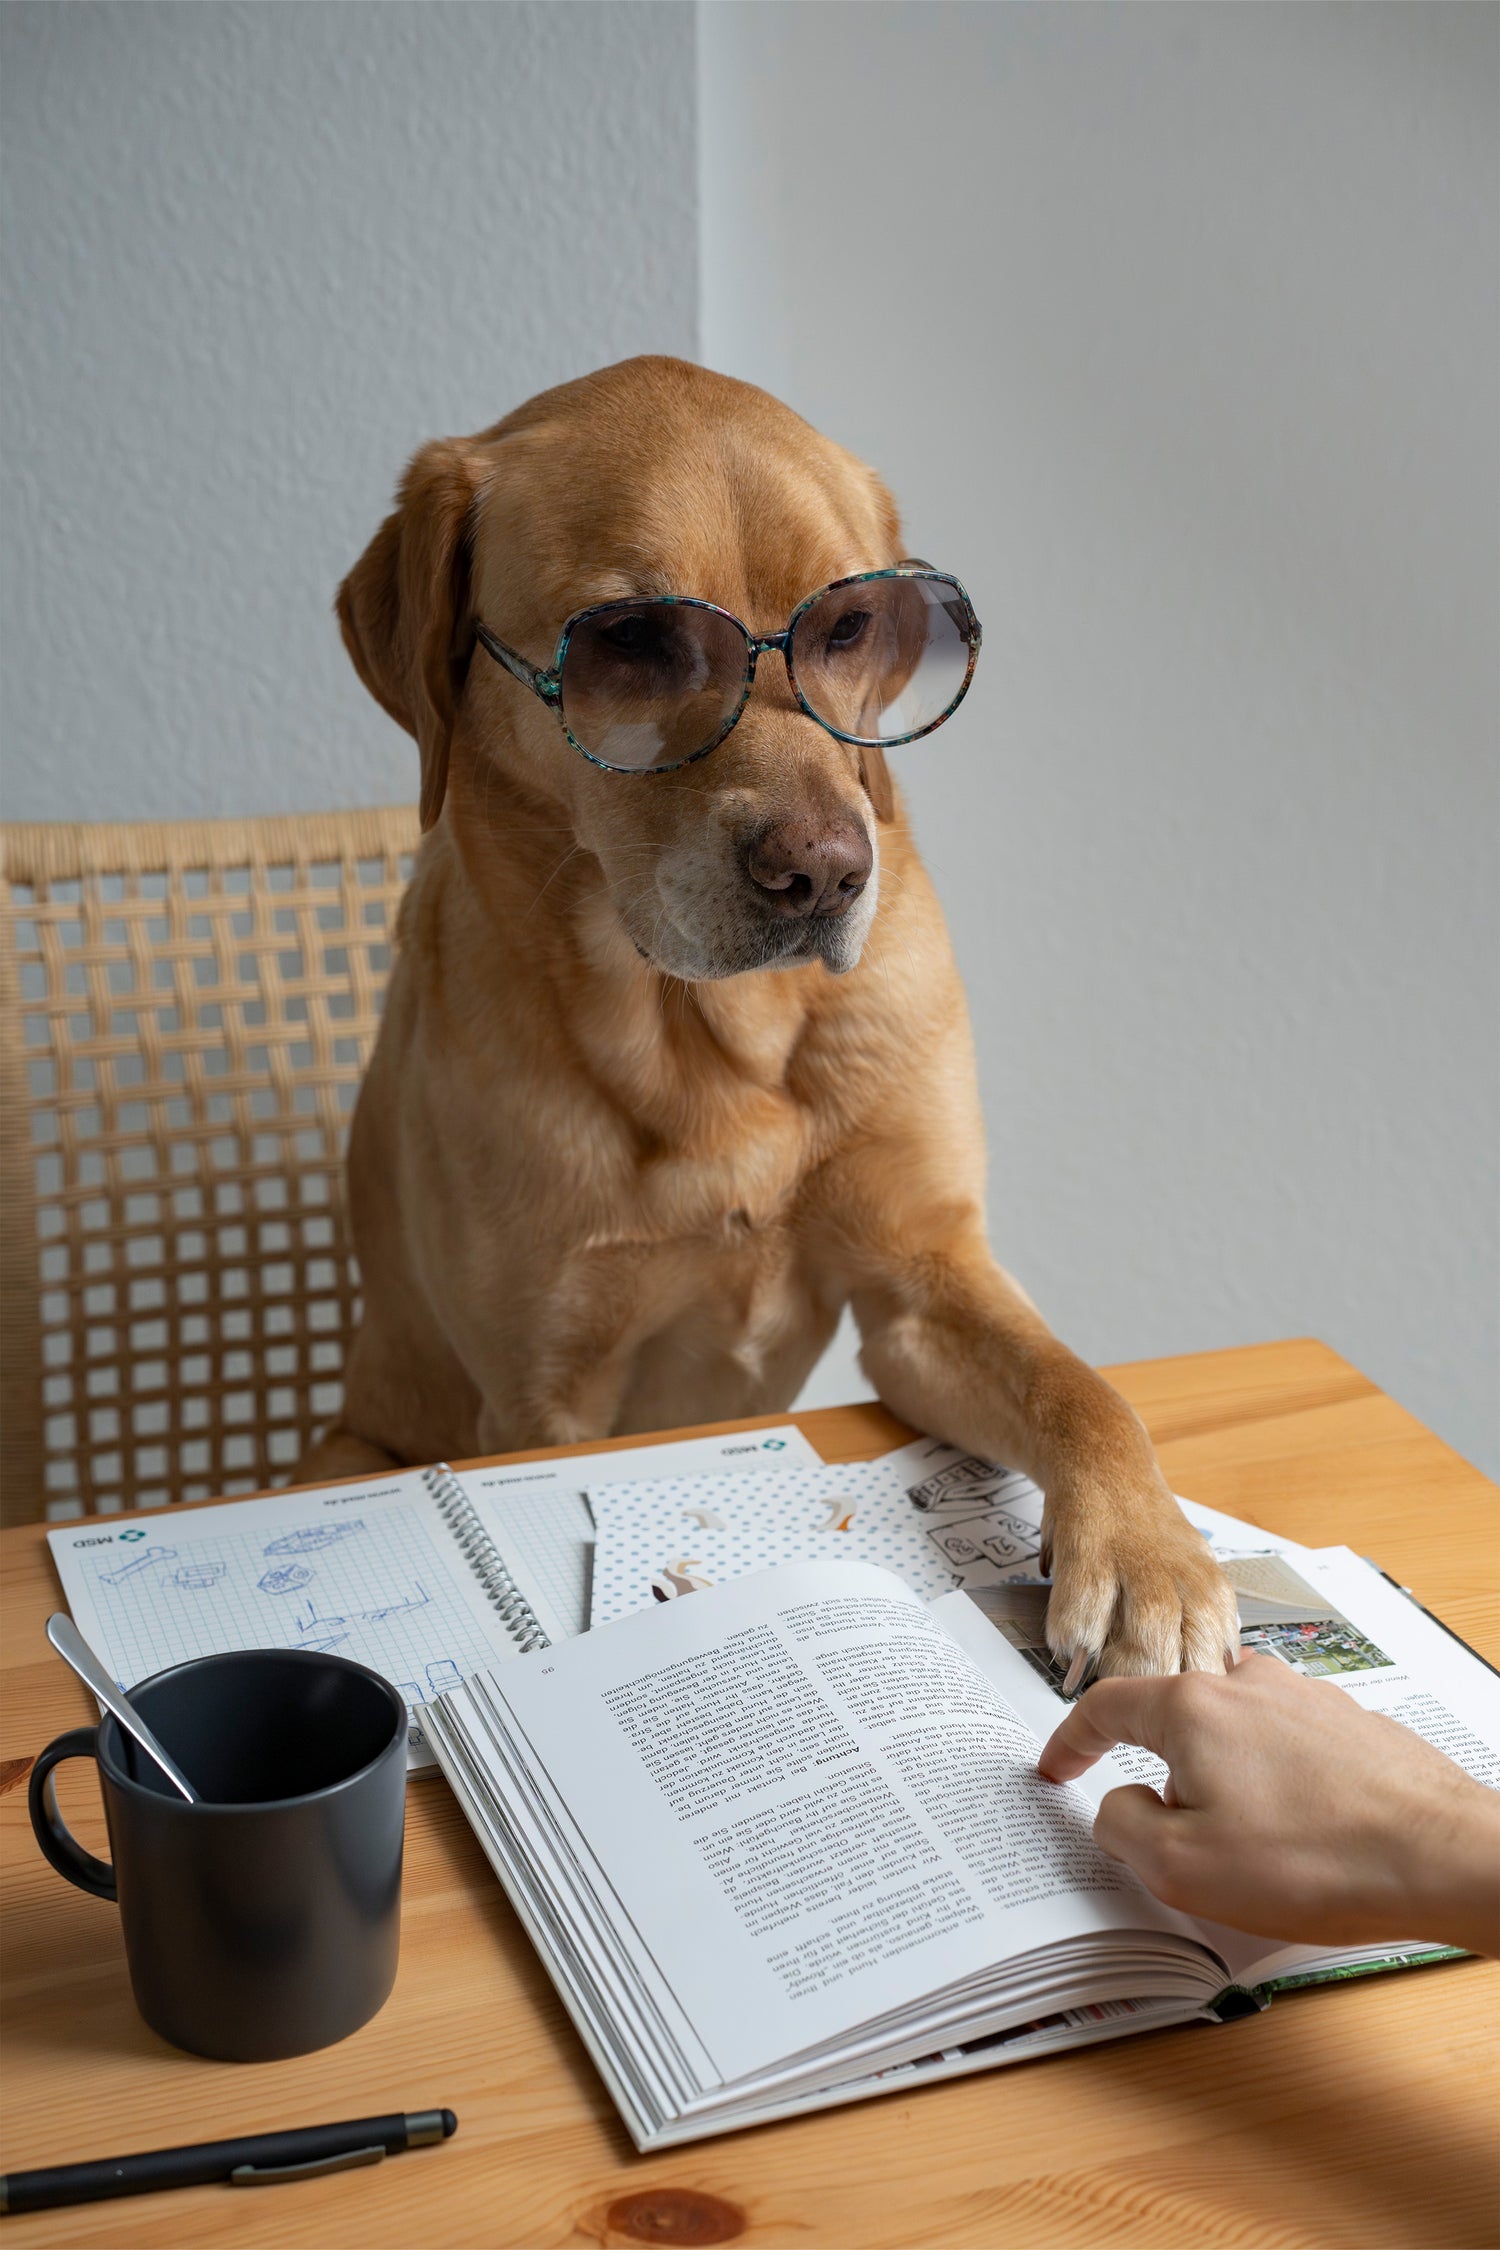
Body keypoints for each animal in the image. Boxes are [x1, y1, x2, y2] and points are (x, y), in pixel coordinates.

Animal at [310, 351, 1241, 1683]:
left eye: (847, 627)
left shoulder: (923, 1283)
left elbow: (1082, 1387)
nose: (826, 873)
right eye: (631, 638)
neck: (714, 1037)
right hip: (353, 1441)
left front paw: (1148, 1558)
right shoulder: (546, 1394)